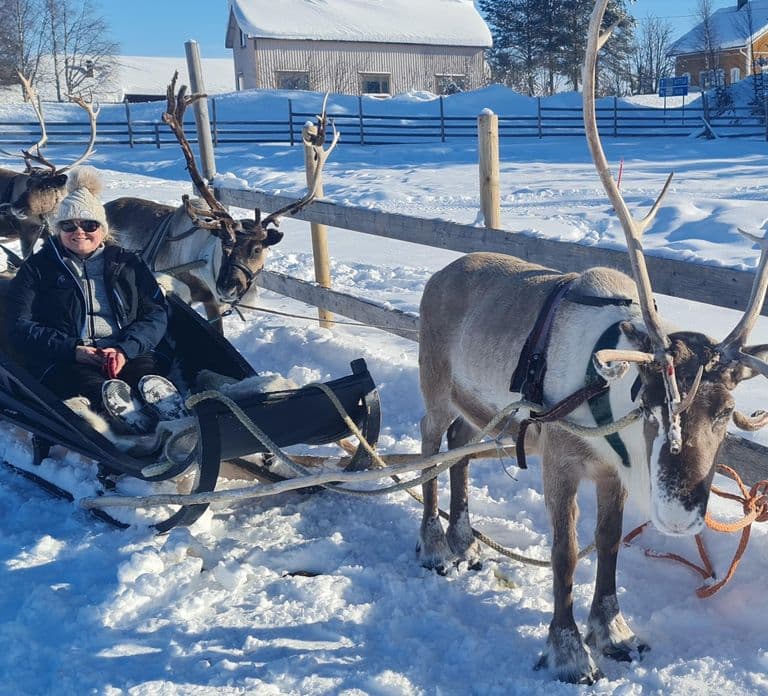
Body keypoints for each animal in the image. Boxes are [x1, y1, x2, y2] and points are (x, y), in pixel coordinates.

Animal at [105, 73, 338, 333]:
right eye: (225, 246)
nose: (228, 287)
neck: (205, 258)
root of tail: (106, 205)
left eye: (256, 249)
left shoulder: (211, 301)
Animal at [415, 0, 768, 685]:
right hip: (436, 385)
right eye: (655, 400)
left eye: (724, 412)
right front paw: (568, 649)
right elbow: (564, 554)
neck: (606, 396)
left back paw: (465, 540)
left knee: (460, 451)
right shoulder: (558, 461)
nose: (684, 509)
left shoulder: (610, 474)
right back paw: (434, 546)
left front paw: (615, 631)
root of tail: (437, 275)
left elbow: (605, 549)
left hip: (478, 408)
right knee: (427, 445)